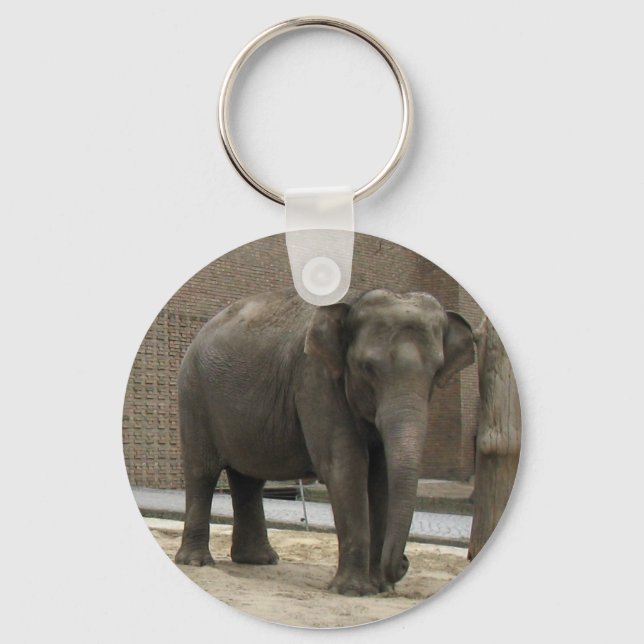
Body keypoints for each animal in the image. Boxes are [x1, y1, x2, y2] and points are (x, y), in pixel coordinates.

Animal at [174, 287, 475, 596]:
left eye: (436, 371)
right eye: (367, 368)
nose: (403, 564)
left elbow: (381, 477)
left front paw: (380, 589)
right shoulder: (315, 379)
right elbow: (345, 467)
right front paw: (354, 591)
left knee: (248, 479)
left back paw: (258, 561)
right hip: (193, 396)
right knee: (202, 472)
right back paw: (197, 562)